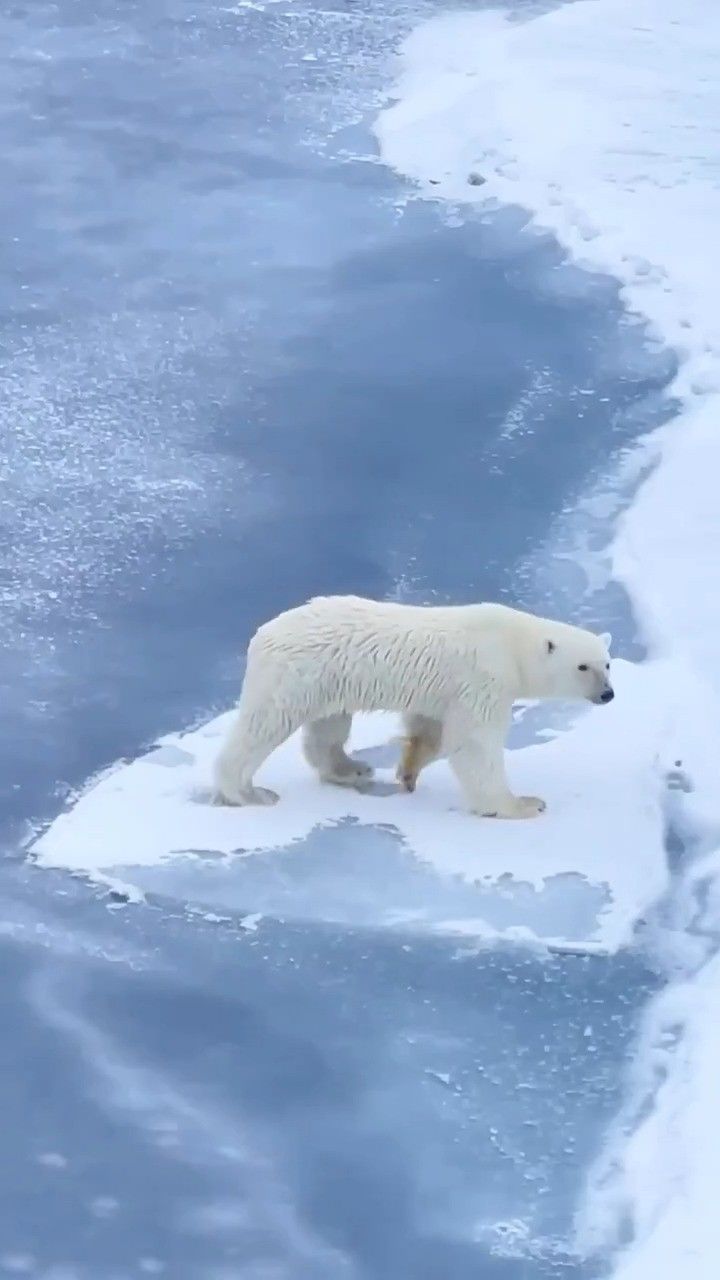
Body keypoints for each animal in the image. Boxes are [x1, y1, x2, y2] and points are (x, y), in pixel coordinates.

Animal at [210, 591, 607, 814]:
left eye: (606, 663)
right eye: (582, 666)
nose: (608, 694)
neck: (511, 645)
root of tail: (262, 634)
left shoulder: (447, 692)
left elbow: (430, 729)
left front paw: (408, 771)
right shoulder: (483, 679)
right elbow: (475, 743)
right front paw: (522, 804)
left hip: (328, 679)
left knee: (328, 729)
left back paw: (351, 768)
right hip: (295, 676)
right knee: (264, 725)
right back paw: (248, 793)